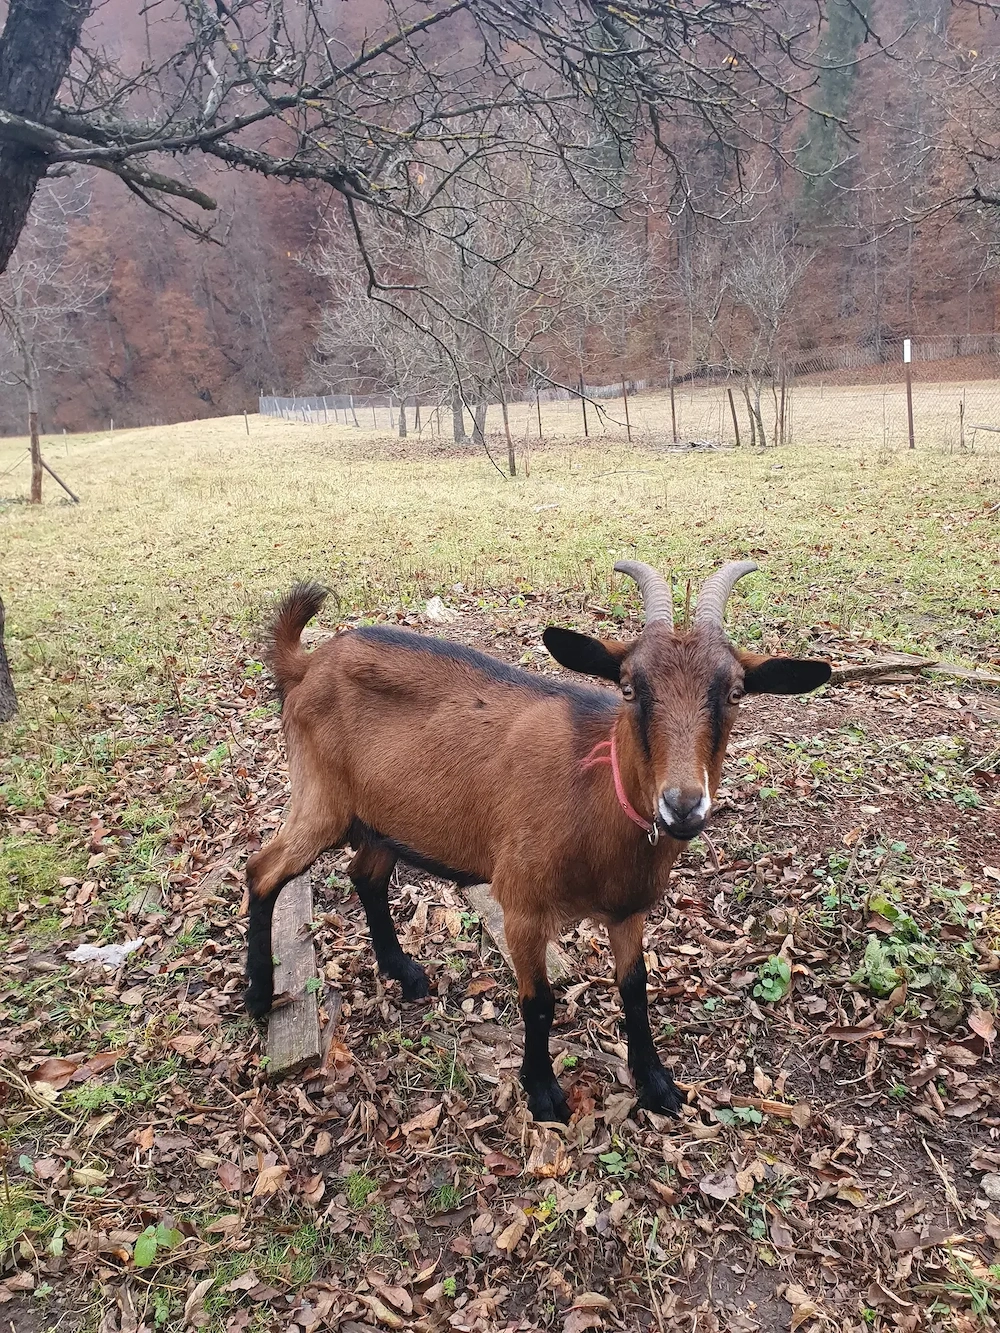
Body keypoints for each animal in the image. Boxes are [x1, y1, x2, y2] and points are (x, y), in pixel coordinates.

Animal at [245, 561, 831, 1122]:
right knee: (263, 869)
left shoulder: (628, 910)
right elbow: (539, 1001)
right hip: (321, 799)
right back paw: (258, 994)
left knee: (364, 875)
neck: (592, 795)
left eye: (735, 693)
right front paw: (544, 1092)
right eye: (628, 688)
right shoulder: (522, 906)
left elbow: (635, 990)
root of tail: (309, 664)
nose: (683, 805)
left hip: (387, 816)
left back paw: (404, 973)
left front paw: (656, 1083)